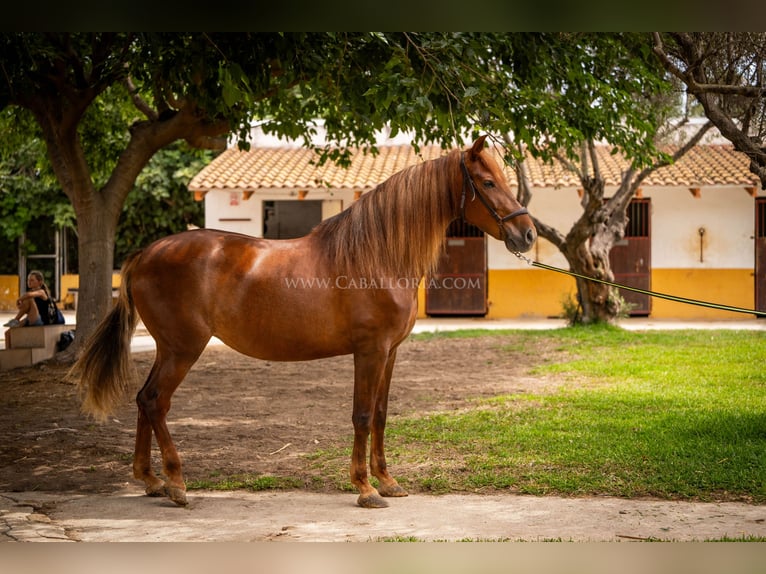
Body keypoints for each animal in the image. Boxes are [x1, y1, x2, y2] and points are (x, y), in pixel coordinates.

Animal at [73, 135, 540, 508]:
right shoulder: (369, 352)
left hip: (168, 348)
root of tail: (145, 253)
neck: (377, 256)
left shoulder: (389, 353)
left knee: (143, 400)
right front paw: (365, 489)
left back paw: (149, 480)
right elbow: (362, 415)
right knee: (156, 401)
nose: (529, 235)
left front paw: (388, 482)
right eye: (488, 183)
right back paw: (176, 484)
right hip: (183, 348)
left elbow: (382, 414)